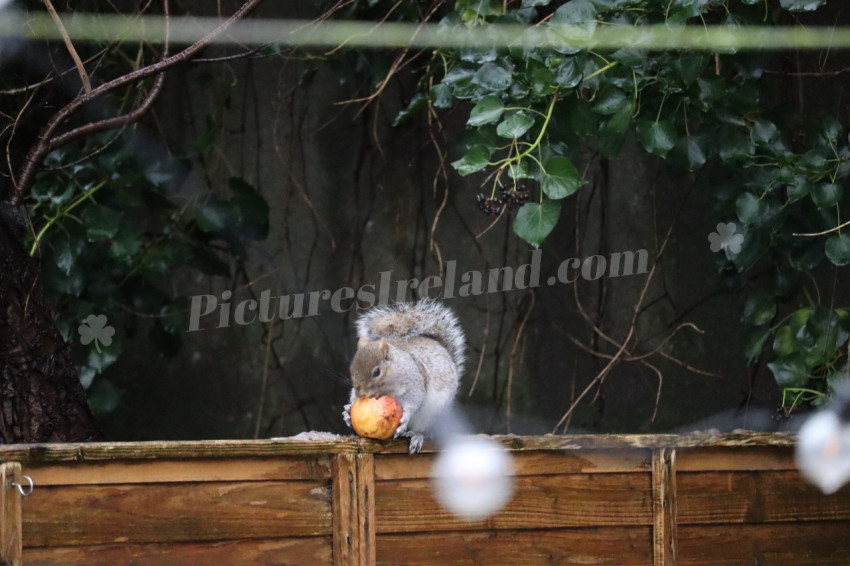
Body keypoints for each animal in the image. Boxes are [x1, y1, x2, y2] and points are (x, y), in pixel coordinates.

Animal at [342, 300, 464, 454]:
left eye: (376, 372)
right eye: (352, 369)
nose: (360, 394)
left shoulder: (413, 381)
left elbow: (415, 398)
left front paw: (405, 417)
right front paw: (347, 411)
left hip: (432, 414)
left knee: (423, 430)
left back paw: (416, 435)